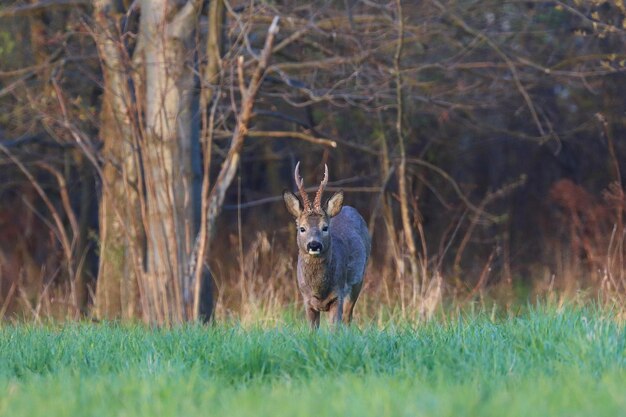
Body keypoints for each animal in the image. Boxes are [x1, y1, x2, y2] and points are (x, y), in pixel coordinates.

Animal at [282, 161, 370, 326]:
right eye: (302, 228)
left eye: (325, 227)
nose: (314, 245)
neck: (319, 289)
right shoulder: (307, 300)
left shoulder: (338, 294)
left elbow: (335, 327)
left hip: (358, 280)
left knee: (348, 317)